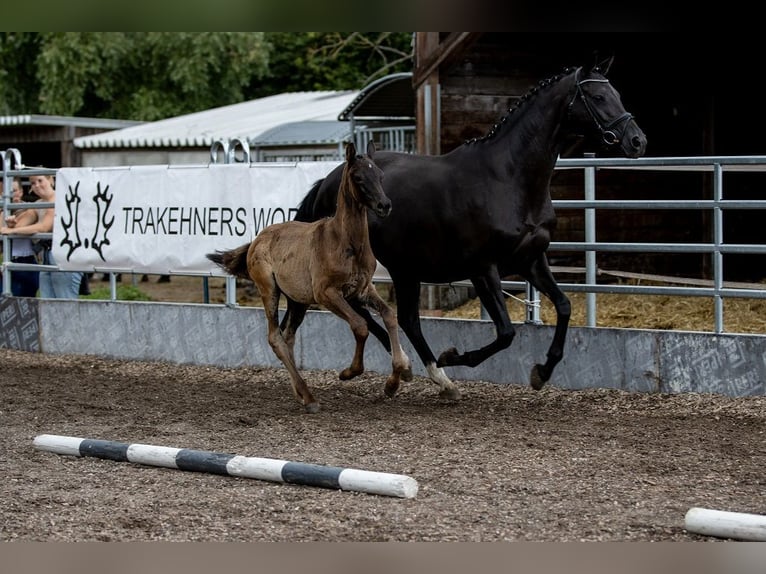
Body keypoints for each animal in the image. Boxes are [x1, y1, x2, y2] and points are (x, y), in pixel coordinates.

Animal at [294, 60, 648, 398]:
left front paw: (542, 372)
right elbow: (505, 333)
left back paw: (436, 379)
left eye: (617, 94)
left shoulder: (531, 260)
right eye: (598, 97)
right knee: (362, 309)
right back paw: (413, 369)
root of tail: (328, 181)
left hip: (405, 269)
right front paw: (453, 356)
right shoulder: (483, 269)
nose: (637, 141)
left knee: (406, 319)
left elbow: (563, 306)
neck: (508, 178)